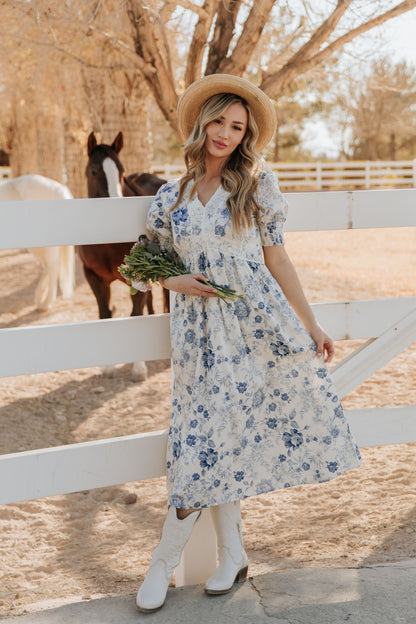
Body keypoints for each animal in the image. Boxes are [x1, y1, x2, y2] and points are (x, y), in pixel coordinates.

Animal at [80, 132, 167, 380]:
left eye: (121, 171)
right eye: (93, 171)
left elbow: (135, 314)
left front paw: (139, 368)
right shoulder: (93, 278)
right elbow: (105, 315)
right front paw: (108, 367)